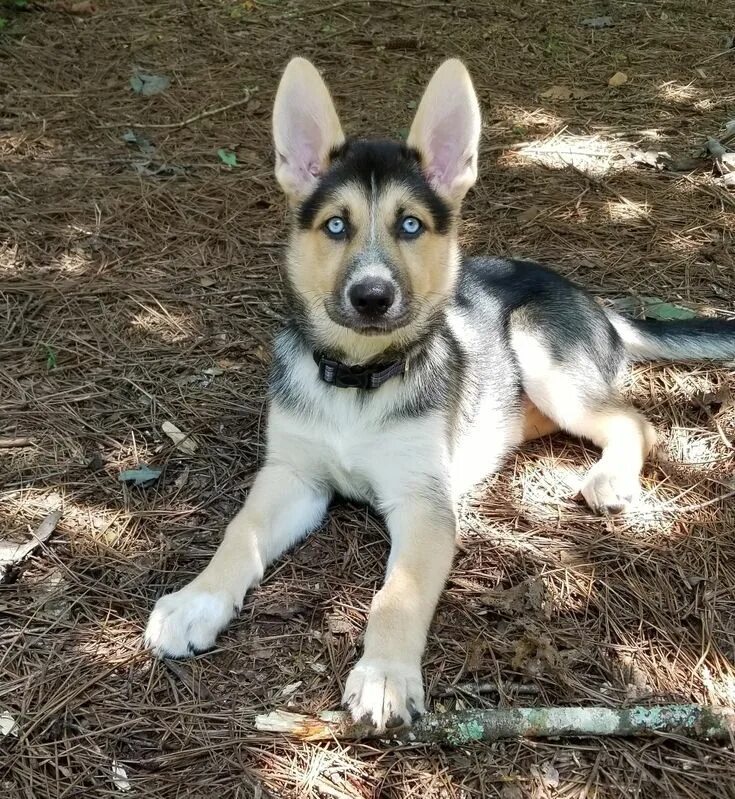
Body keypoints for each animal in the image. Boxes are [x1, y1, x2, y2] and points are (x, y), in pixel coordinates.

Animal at [144, 56, 735, 732]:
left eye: (410, 225)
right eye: (335, 226)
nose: (372, 297)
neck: (361, 381)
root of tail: (598, 304)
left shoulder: (424, 505)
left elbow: (397, 596)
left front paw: (385, 675)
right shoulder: (292, 477)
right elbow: (237, 535)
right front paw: (196, 601)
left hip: (537, 342)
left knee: (634, 421)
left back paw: (611, 477)